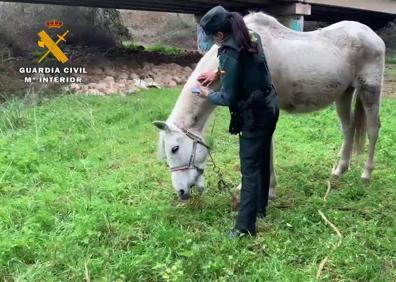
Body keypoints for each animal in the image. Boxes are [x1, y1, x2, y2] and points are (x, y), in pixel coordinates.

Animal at [153, 11, 386, 200]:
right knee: (348, 129)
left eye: (174, 148)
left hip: (370, 91)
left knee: (373, 130)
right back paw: (340, 170)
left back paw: (366, 175)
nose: (181, 192)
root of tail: (373, 35)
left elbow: (266, 148)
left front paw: (268, 190)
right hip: (344, 94)